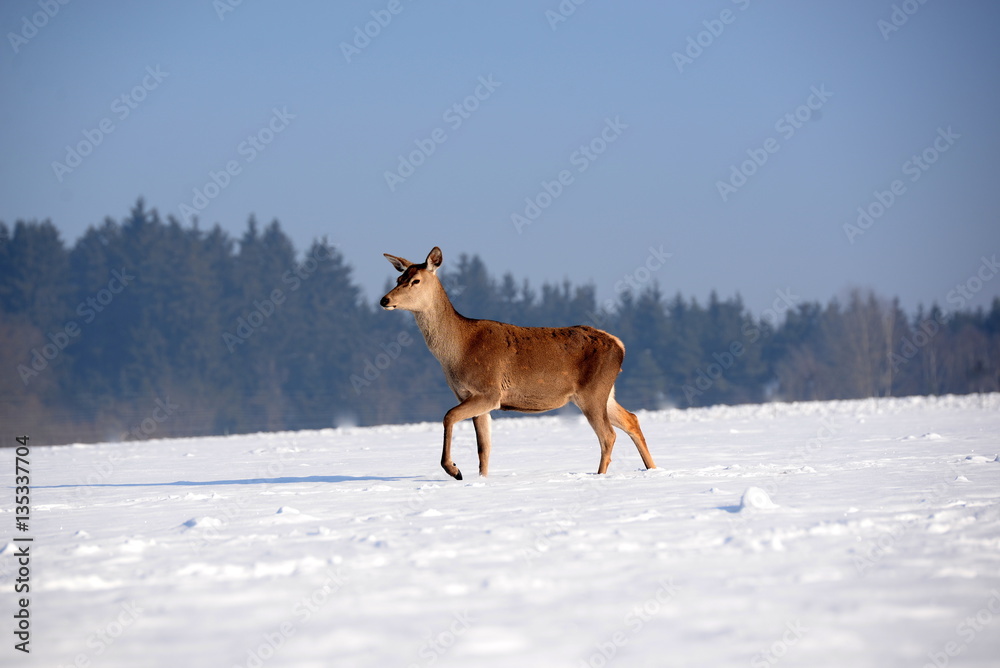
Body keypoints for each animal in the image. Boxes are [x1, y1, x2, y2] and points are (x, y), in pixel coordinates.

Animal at [380, 247, 657, 480]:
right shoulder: (470, 396)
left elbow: (448, 416)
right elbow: (484, 447)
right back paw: (652, 468)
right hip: (604, 392)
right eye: (398, 279)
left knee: (608, 435)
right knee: (631, 419)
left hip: (593, 391)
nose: (384, 300)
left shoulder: (488, 391)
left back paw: (599, 476)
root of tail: (620, 345)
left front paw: (454, 470)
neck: (458, 350)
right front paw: (481, 479)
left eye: (415, 281)